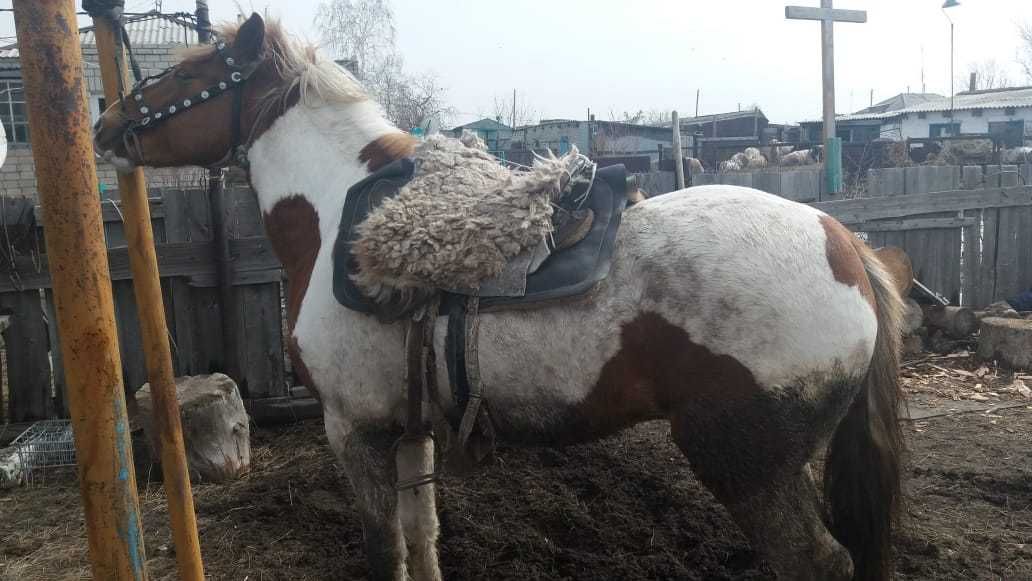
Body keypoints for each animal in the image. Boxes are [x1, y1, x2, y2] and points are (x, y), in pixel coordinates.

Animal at [94, 13, 904, 581]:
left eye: (189, 74)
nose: (106, 123)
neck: (338, 213)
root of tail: (844, 245)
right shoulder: (409, 427)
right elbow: (423, 535)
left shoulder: (351, 430)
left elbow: (385, 549)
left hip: (745, 462)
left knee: (820, 562)